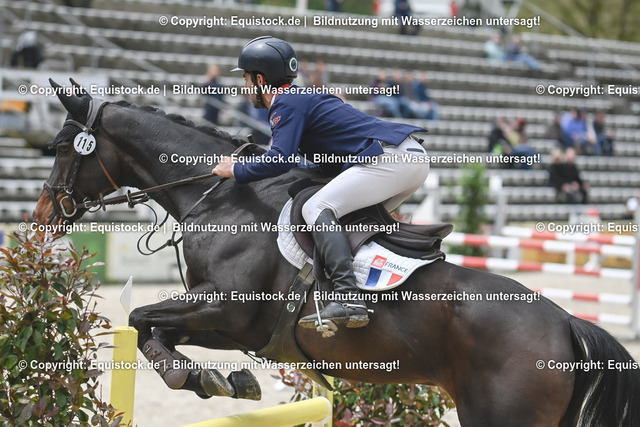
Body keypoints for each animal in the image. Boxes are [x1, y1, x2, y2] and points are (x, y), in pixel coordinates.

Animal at [33, 81, 640, 426]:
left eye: (61, 147)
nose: (40, 218)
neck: (219, 197)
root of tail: (566, 325)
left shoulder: (225, 305)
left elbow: (140, 315)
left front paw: (195, 379)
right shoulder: (240, 327)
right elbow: (156, 327)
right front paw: (223, 381)